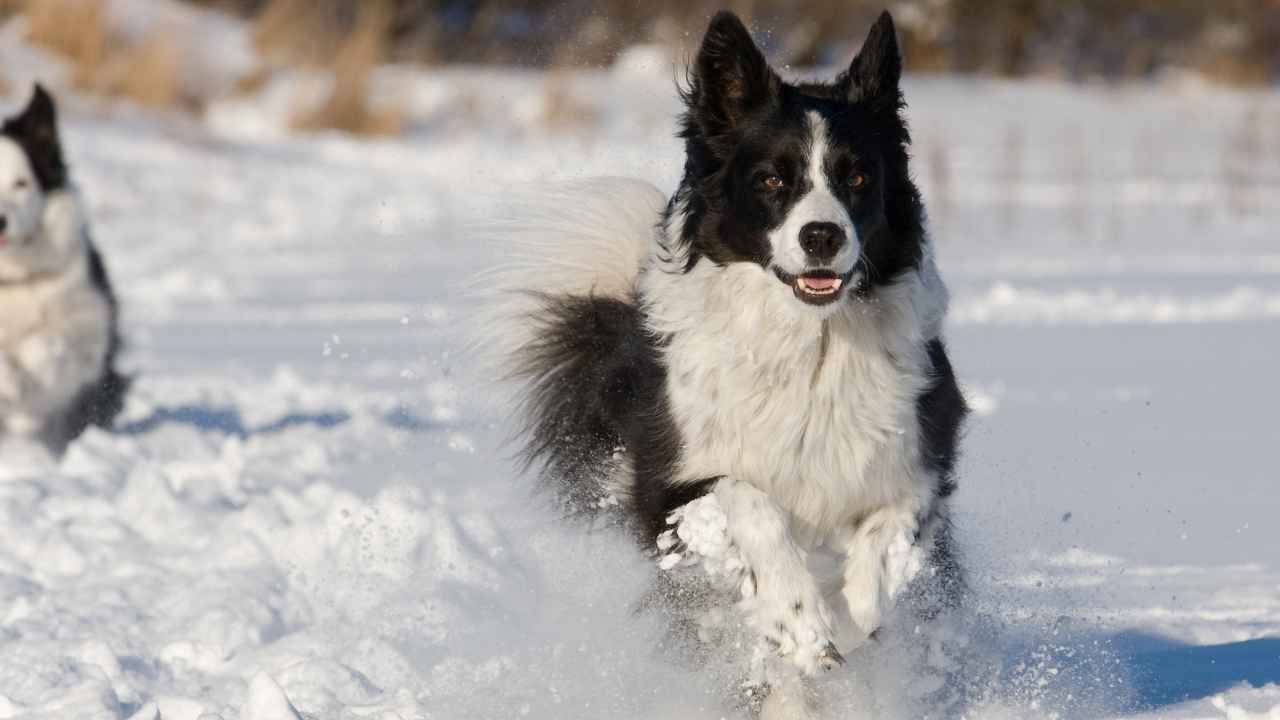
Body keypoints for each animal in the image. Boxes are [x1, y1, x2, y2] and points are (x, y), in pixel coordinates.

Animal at [0, 87, 128, 450]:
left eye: (21, 184)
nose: (0, 221)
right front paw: (10, 380)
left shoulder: (92, 327)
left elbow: (51, 340)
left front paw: (31, 369)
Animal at [483, 9, 962, 712]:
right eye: (771, 180)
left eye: (857, 178)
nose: (823, 236)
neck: (810, 342)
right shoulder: (669, 485)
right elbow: (747, 499)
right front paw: (800, 621)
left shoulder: (921, 454)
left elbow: (892, 524)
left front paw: (860, 609)